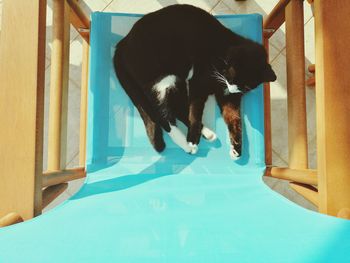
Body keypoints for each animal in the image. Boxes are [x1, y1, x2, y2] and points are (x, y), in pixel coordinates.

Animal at [113, 4, 276, 160]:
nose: (233, 89)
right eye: (232, 78)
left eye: (246, 86)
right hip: (161, 79)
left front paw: (236, 148)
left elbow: (235, 119)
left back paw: (206, 133)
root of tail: (123, 43)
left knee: (178, 108)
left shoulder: (229, 98)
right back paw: (186, 144)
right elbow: (195, 111)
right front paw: (192, 139)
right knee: (163, 114)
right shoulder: (198, 82)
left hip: (176, 80)